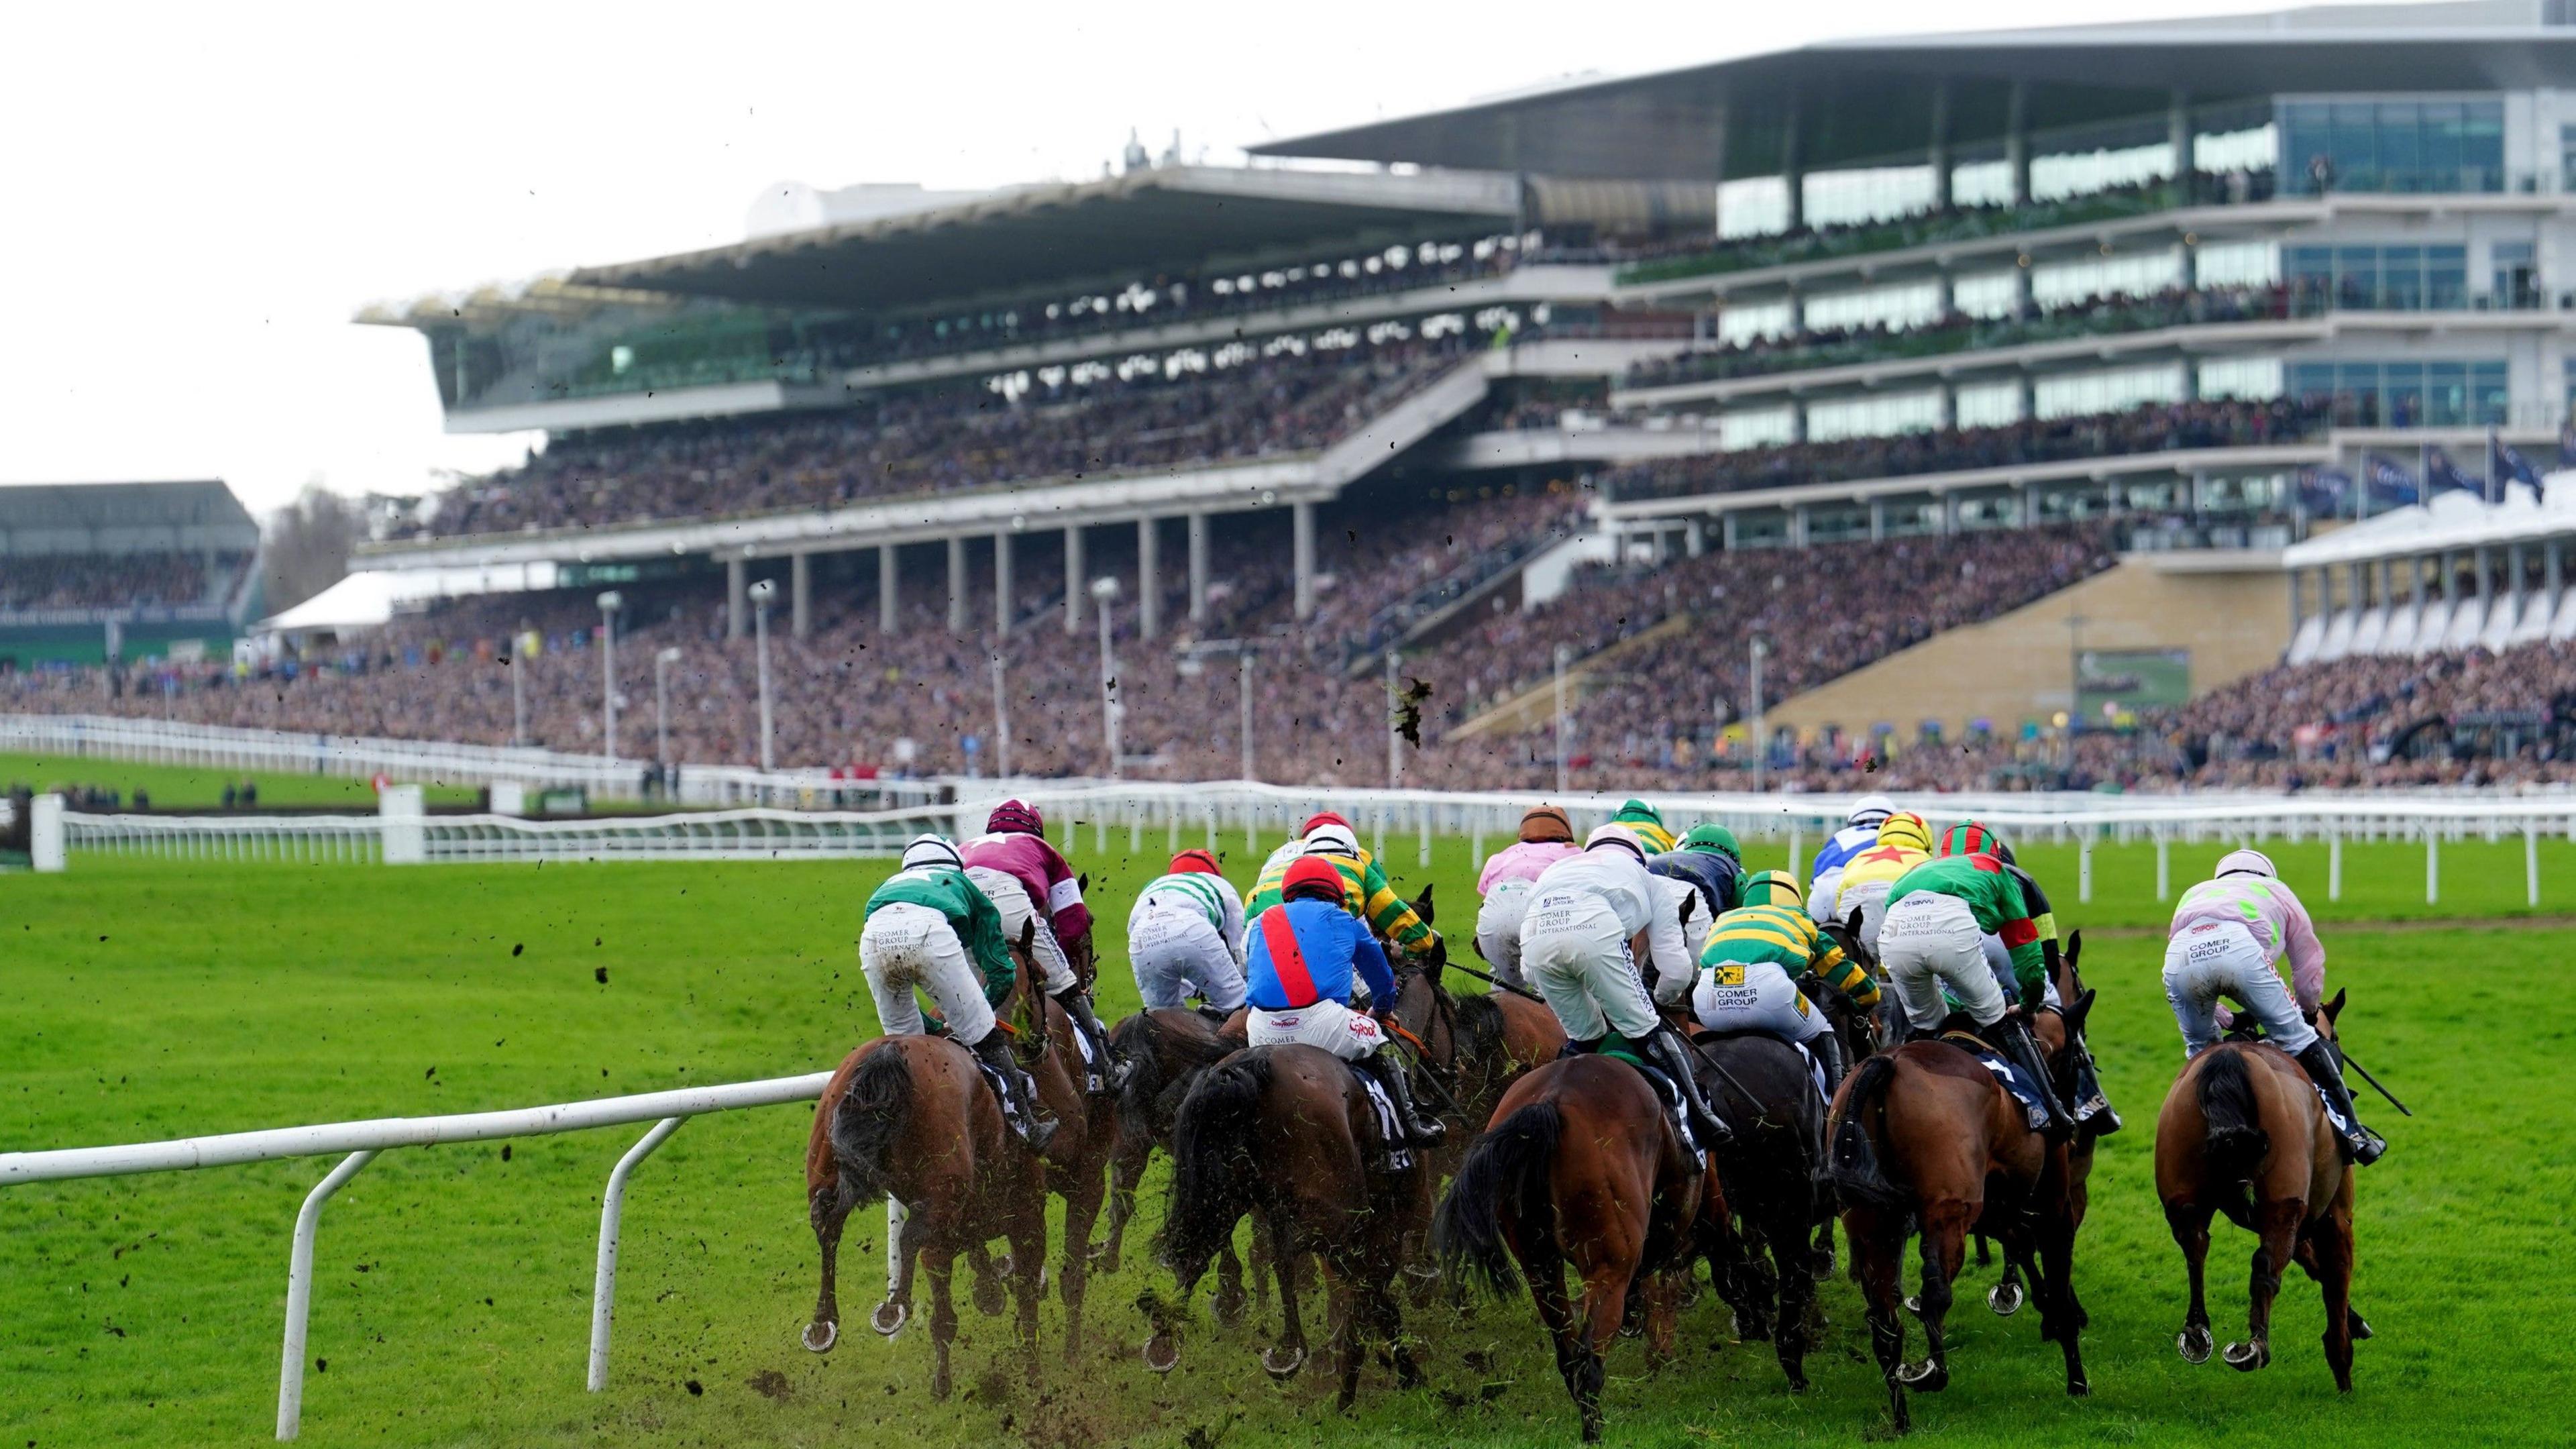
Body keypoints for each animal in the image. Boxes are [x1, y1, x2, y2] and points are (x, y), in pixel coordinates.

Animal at [1148, 1036, 1432, 1402]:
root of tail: (1247, 1068)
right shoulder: (1379, 1223)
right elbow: (1372, 1296)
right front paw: (1392, 1375)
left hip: (1222, 1193)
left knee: (1201, 1250)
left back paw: (1166, 1338)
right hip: (1333, 1213)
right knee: (1284, 1254)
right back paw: (1290, 1347)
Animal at [1442, 1046, 1721, 1433]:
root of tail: (1551, 1101)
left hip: (1540, 1266)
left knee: (1568, 1355)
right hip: (1608, 1265)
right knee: (1589, 1361)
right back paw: (1595, 1430)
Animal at [1823, 1016, 2081, 1433]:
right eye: (2078, 1054)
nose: (2074, 1112)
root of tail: (1887, 1064)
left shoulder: (1999, 1211)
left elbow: (2023, 1249)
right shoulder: (2053, 1205)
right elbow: (2057, 1282)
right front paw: (2077, 1381)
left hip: (1867, 1220)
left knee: (1884, 1324)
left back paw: (1902, 1419)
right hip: (1949, 1211)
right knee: (1935, 1293)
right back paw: (1931, 1373)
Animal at [2153, 985, 2369, 1382]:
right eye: (2336, 1038)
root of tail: (2227, 1063)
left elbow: (2312, 1263)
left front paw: (2356, 1321)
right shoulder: (2333, 1214)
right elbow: (2334, 1278)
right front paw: (2344, 1357)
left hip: (2183, 1194)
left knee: (2195, 1246)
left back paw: (2197, 1331)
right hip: (2285, 1201)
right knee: (2266, 1266)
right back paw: (2255, 1347)